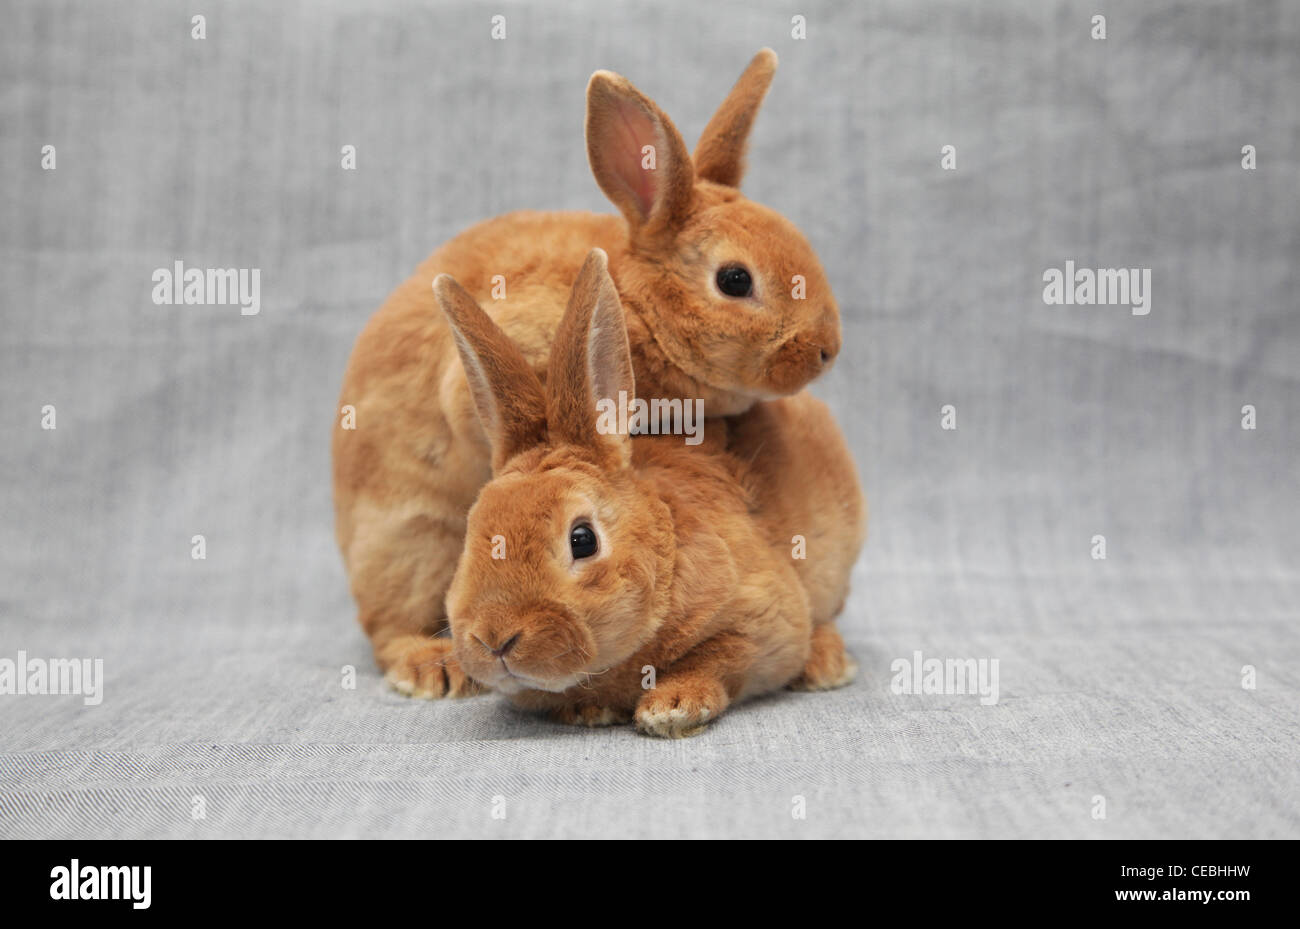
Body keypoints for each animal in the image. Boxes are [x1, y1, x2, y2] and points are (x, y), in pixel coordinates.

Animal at [333, 49, 846, 695]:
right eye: (735, 280)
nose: (827, 348)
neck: (632, 296)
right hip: (410, 546)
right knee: (387, 629)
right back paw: (433, 667)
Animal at [431, 249, 857, 737]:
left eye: (582, 539)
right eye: (471, 533)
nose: (494, 638)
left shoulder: (766, 623)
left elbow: (721, 656)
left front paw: (672, 709)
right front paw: (588, 712)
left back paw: (826, 666)